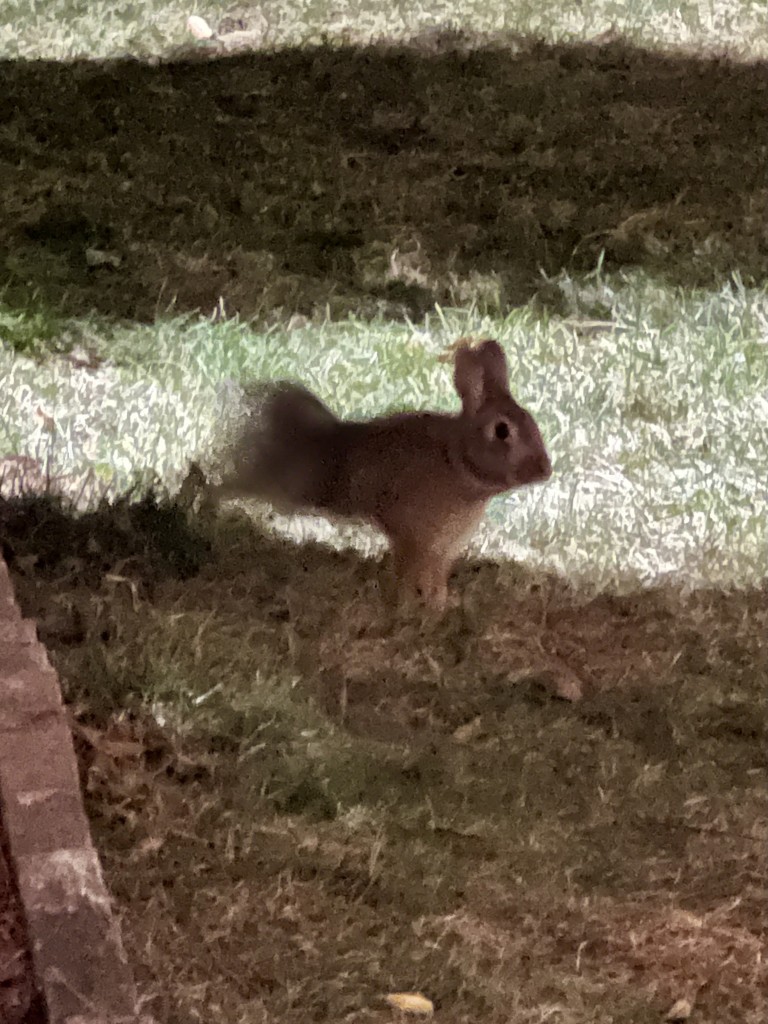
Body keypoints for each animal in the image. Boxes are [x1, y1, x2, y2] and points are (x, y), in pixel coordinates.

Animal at [210, 335, 552, 606]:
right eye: (502, 431)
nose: (545, 470)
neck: (456, 463)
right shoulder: (414, 538)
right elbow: (412, 575)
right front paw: (414, 607)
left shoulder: (442, 550)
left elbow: (436, 578)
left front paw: (440, 605)